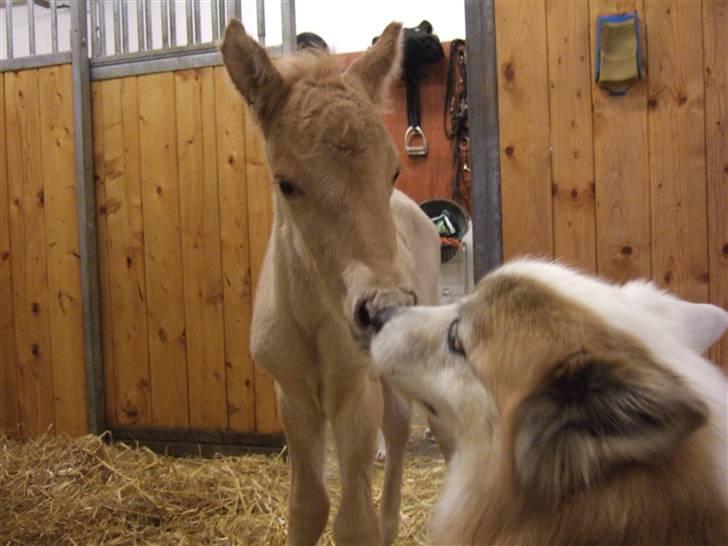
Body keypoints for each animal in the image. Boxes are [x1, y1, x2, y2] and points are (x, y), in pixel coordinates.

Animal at [219, 21, 440, 544]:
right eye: (286, 183)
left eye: (392, 168)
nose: (384, 309)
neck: (312, 318)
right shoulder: (294, 397)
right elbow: (308, 507)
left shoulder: (355, 392)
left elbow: (353, 521)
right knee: (398, 424)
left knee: (408, 426)